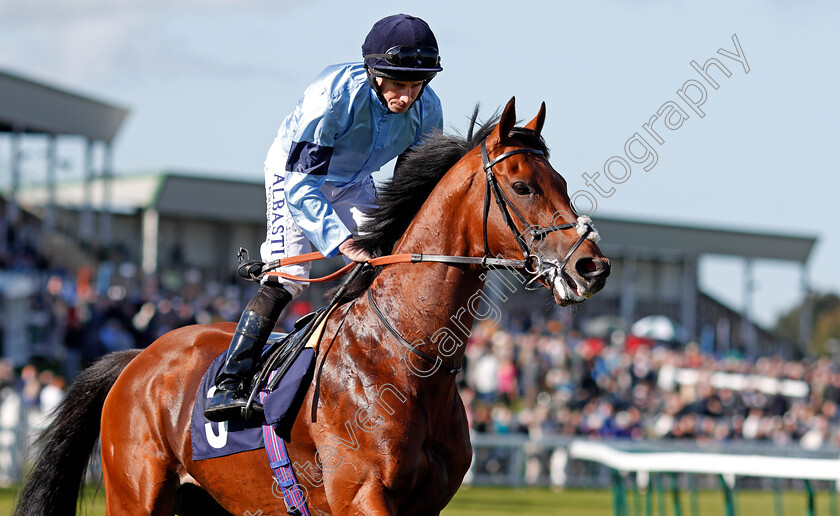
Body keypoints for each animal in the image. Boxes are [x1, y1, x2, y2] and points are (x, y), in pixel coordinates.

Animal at [14, 98, 612, 516]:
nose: (592, 267)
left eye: (560, 181)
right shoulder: (361, 494)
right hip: (137, 495)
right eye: (522, 186)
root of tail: (139, 358)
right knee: (283, 275)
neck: (403, 355)